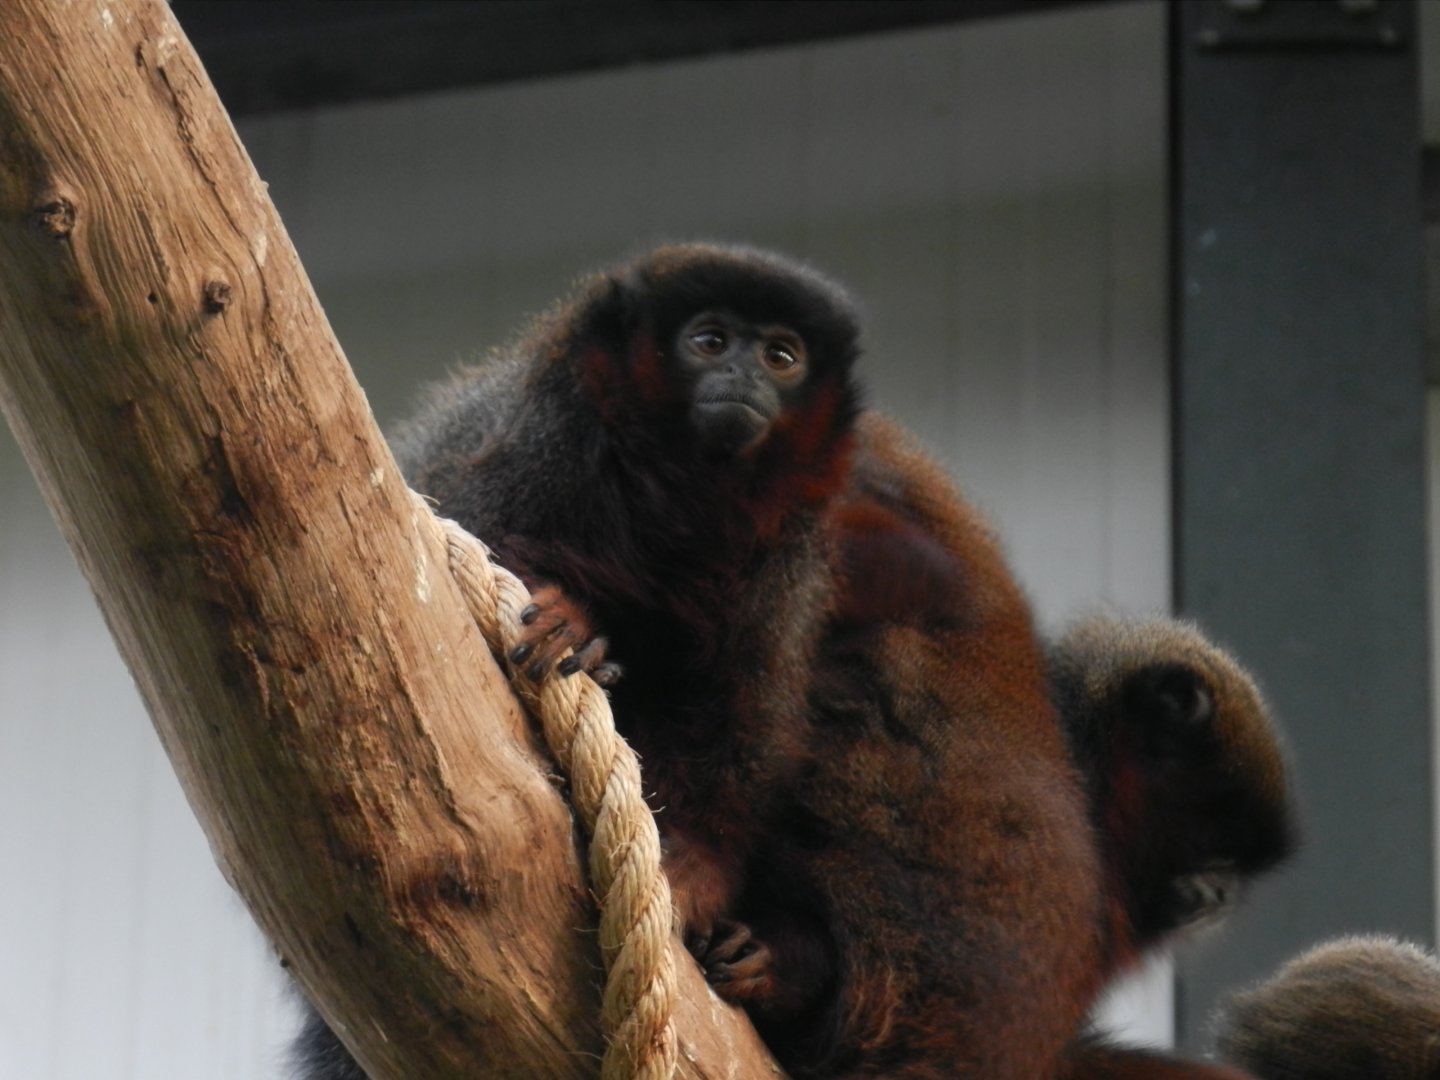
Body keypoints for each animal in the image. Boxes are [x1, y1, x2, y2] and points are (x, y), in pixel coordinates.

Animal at [290, 242, 864, 1078]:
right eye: (711, 341)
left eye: (781, 356)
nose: (744, 377)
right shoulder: (543, 441)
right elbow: (464, 543)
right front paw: (576, 627)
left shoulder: (782, 561)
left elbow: (742, 713)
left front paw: (696, 873)